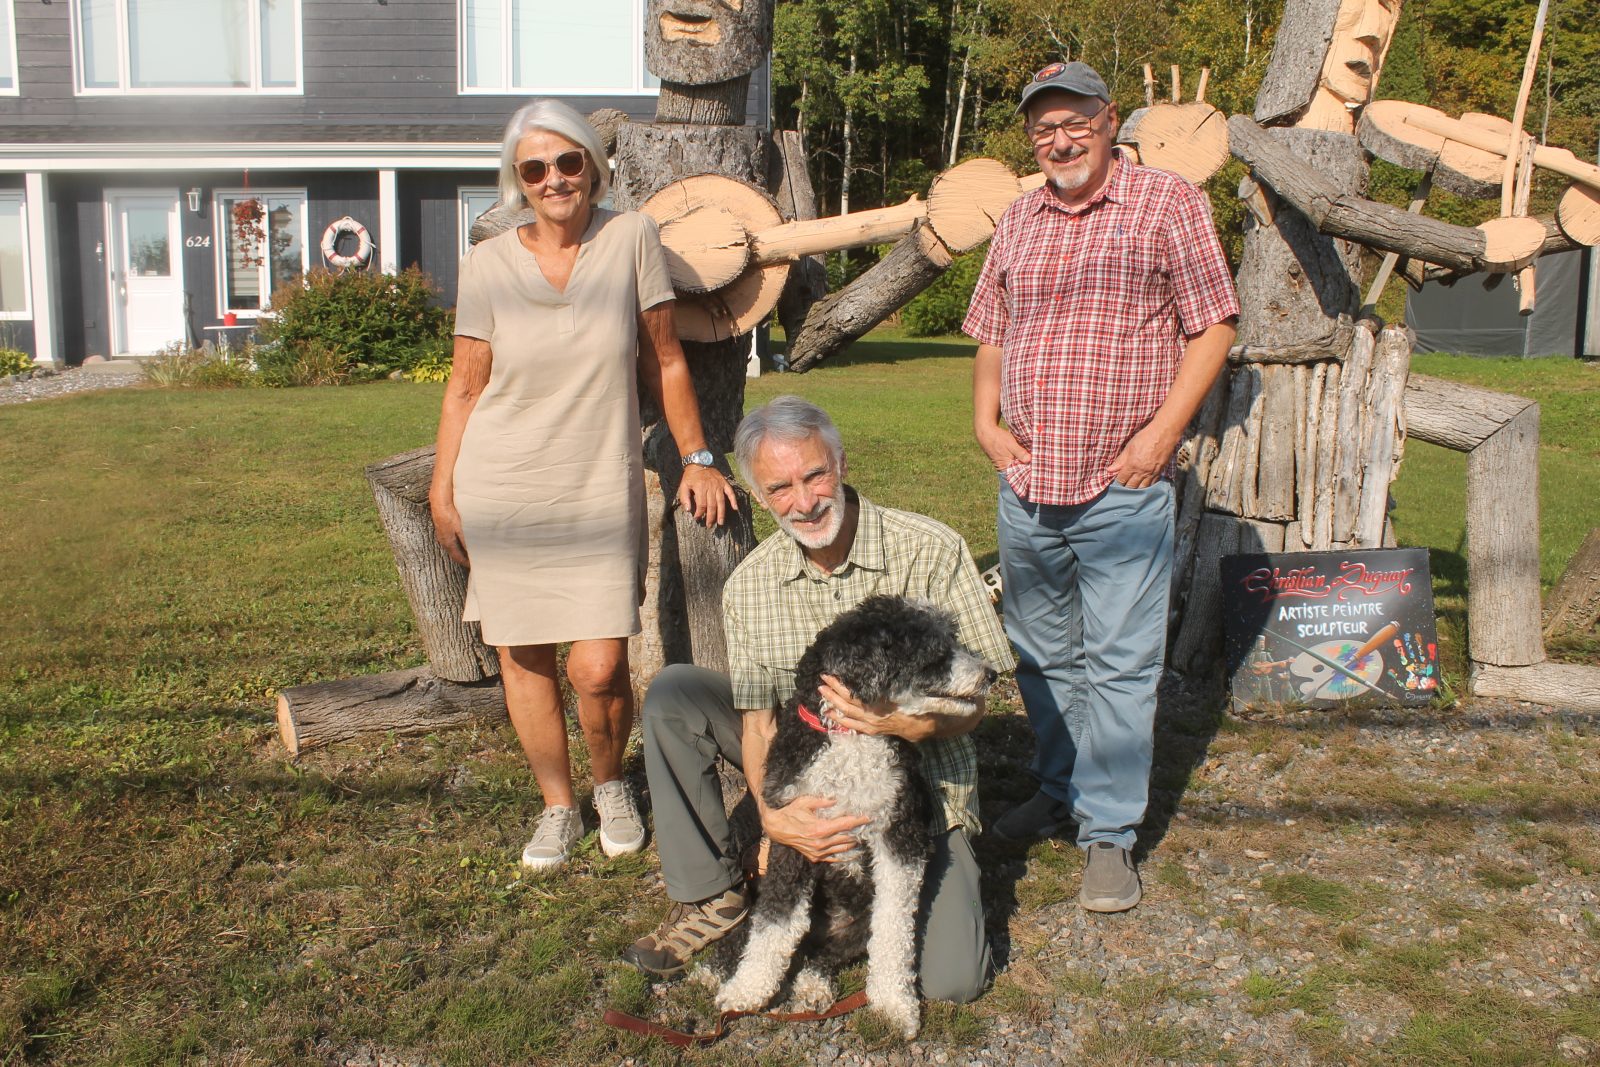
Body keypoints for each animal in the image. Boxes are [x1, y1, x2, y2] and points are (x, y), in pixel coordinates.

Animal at [704, 591, 992, 1036]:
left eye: (953, 637)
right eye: (934, 652)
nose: (989, 674)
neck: (850, 738)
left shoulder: (899, 838)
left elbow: (894, 933)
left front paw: (894, 1005)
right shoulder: (794, 839)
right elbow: (773, 926)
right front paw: (746, 990)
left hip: (855, 929)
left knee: (820, 957)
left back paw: (812, 987)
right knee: (764, 930)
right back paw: (717, 967)